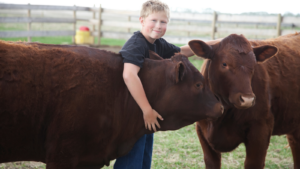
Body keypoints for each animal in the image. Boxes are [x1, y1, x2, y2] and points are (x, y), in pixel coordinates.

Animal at [189, 32, 300, 168]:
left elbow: (253, 163)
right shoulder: (202, 132)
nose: (247, 99)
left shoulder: (261, 130)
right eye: (224, 64)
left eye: (254, 65)